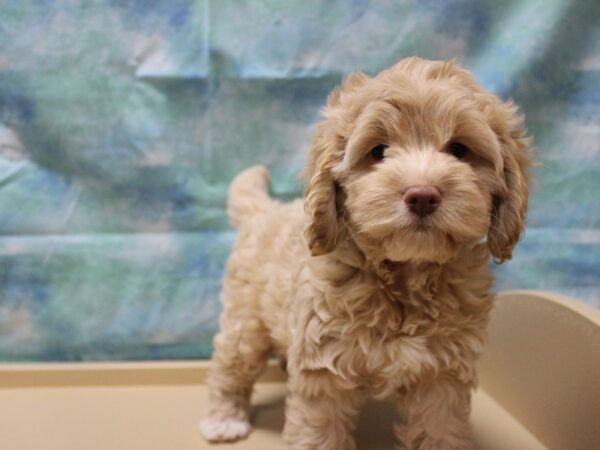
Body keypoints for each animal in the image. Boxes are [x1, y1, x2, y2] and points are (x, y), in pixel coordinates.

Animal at [200, 58, 528, 448]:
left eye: (459, 150)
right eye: (379, 152)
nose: (422, 195)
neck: (406, 275)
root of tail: (264, 211)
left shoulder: (442, 373)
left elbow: (440, 427)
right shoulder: (323, 364)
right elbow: (320, 432)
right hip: (245, 319)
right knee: (231, 364)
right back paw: (224, 418)